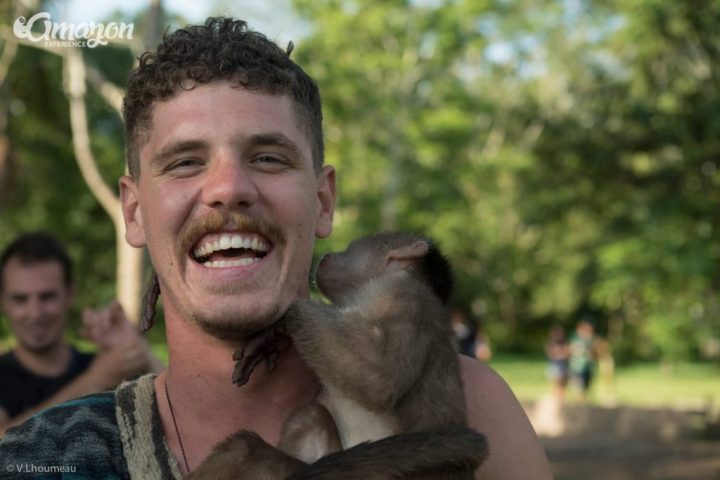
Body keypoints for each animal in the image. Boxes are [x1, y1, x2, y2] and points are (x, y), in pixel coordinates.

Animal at [187, 232, 490, 476]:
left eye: (351, 248)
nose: (330, 254)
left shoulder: (405, 300)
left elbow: (379, 377)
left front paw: (282, 323)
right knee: (310, 417)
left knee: (245, 451)